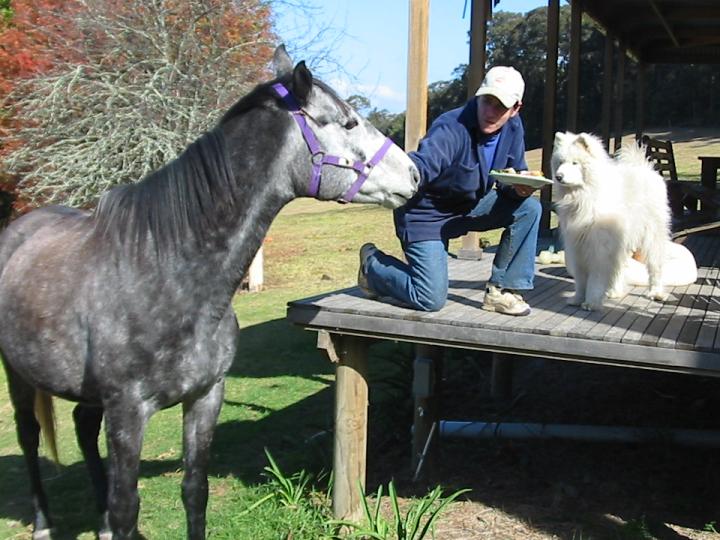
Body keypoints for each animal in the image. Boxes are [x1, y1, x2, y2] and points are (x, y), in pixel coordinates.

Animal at [552, 131, 676, 310]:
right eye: (560, 162)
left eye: (575, 163)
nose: (558, 176)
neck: (584, 196)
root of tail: (644, 167)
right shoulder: (578, 246)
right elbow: (581, 278)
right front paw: (577, 299)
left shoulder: (597, 247)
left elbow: (595, 278)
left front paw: (591, 302)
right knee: (619, 267)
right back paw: (614, 292)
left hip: (652, 235)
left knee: (655, 265)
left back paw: (656, 292)